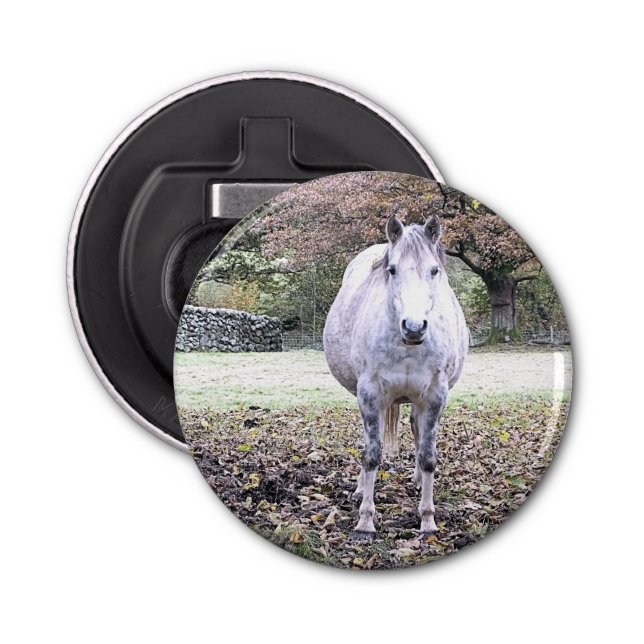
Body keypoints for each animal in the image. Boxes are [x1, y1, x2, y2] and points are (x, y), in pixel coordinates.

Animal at [323, 214, 468, 540]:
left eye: (434, 270)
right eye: (392, 269)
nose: (414, 327)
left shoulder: (435, 396)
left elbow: (428, 455)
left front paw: (427, 521)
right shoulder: (370, 394)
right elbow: (371, 454)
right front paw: (365, 522)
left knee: (417, 431)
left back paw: (416, 480)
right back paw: (359, 489)